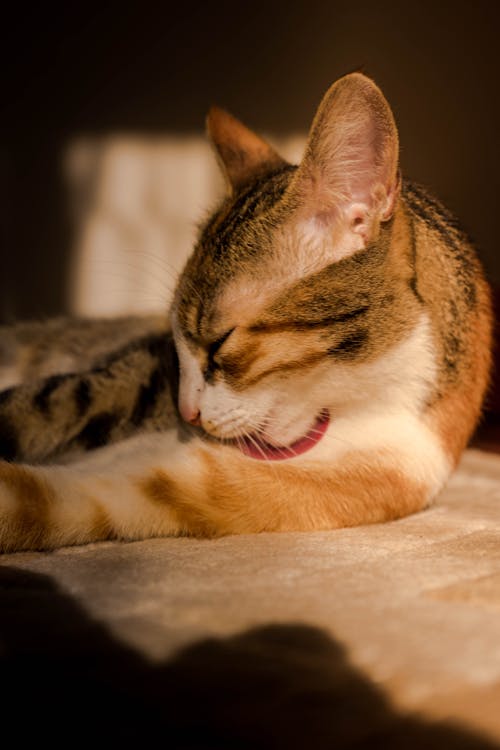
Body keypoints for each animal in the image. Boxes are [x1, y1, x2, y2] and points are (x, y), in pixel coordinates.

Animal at [0, 72, 492, 552]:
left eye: (220, 341)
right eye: (174, 345)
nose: (187, 412)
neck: (362, 408)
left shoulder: (204, 489)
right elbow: (45, 406)